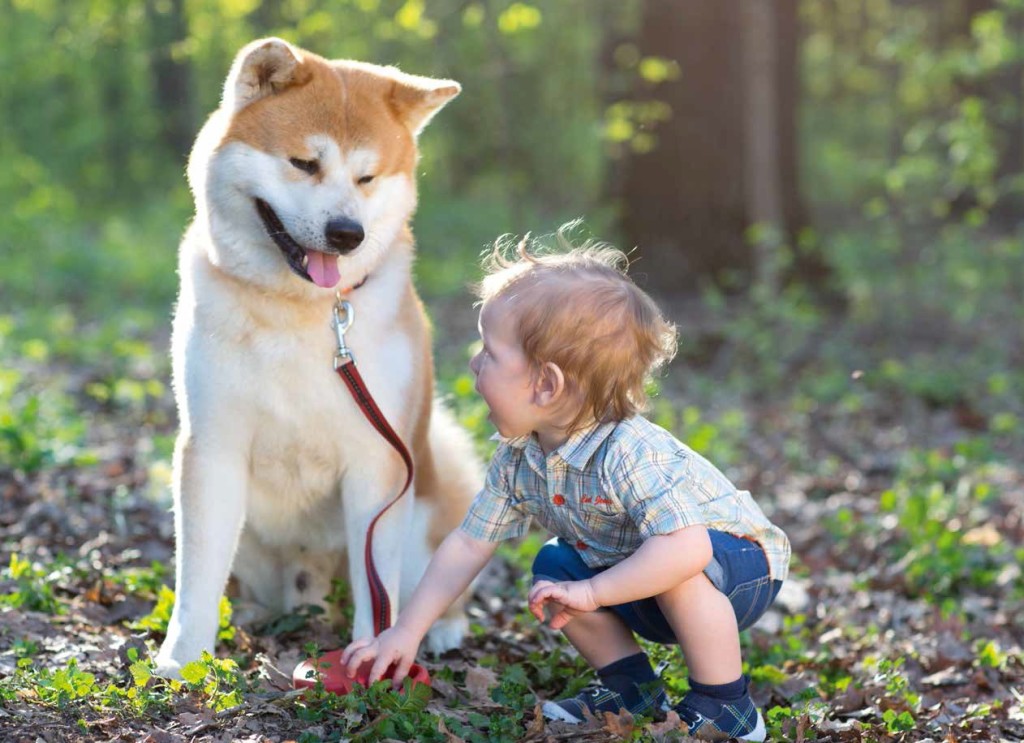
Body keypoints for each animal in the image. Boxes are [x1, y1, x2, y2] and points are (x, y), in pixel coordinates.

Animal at [153, 37, 481, 679]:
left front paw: (374, 662)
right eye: (305, 163)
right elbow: (197, 576)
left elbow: (379, 595)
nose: (347, 232)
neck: (299, 312)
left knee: (428, 590)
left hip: (427, 500)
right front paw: (184, 662)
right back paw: (254, 615)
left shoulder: (379, 462)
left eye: (367, 176)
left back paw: (440, 631)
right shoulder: (211, 448)